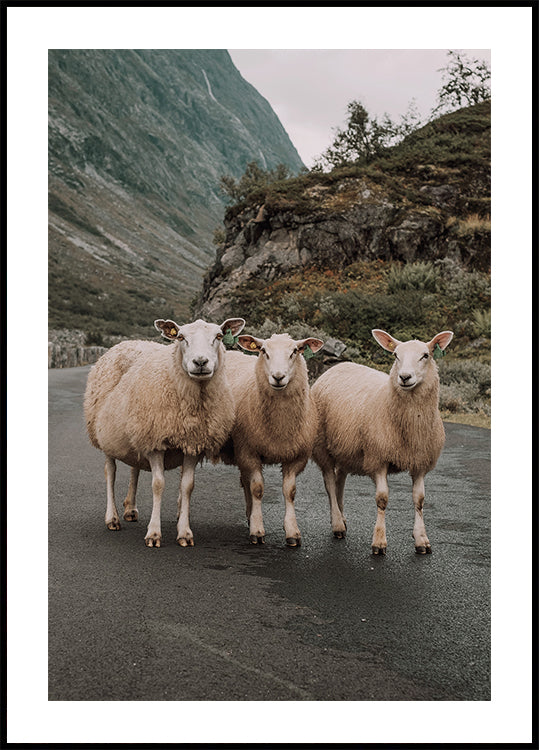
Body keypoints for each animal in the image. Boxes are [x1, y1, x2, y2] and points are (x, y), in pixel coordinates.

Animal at [83, 316, 246, 547]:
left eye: (219, 336)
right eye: (181, 337)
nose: (200, 362)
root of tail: (128, 342)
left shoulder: (192, 443)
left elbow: (187, 486)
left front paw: (185, 533)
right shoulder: (156, 442)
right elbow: (158, 485)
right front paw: (153, 533)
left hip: (137, 431)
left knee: (134, 469)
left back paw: (130, 508)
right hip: (105, 434)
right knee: (110, 472)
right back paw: (112, 518)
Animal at [223, 332, 324, 546]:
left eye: (295, 351)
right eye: (263, 351)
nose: (278, 377)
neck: (280, 426)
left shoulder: (296, 456)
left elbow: (290, 491)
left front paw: (292, 532)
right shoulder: (249, 452)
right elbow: (257, 489)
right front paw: (257, 530)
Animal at [311, 328, 454, 555]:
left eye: (425, 355)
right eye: (395, 355)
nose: (404, 377)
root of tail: (338, 366)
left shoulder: (420, 462)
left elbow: (419, 500)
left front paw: (421, 540)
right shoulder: (378, 458)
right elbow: (382, 499)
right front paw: (379, 542)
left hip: (346, 448)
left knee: (340, 480)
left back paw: (342, 517)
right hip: (323, 447)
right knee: (330, 484)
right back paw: (337, 524)